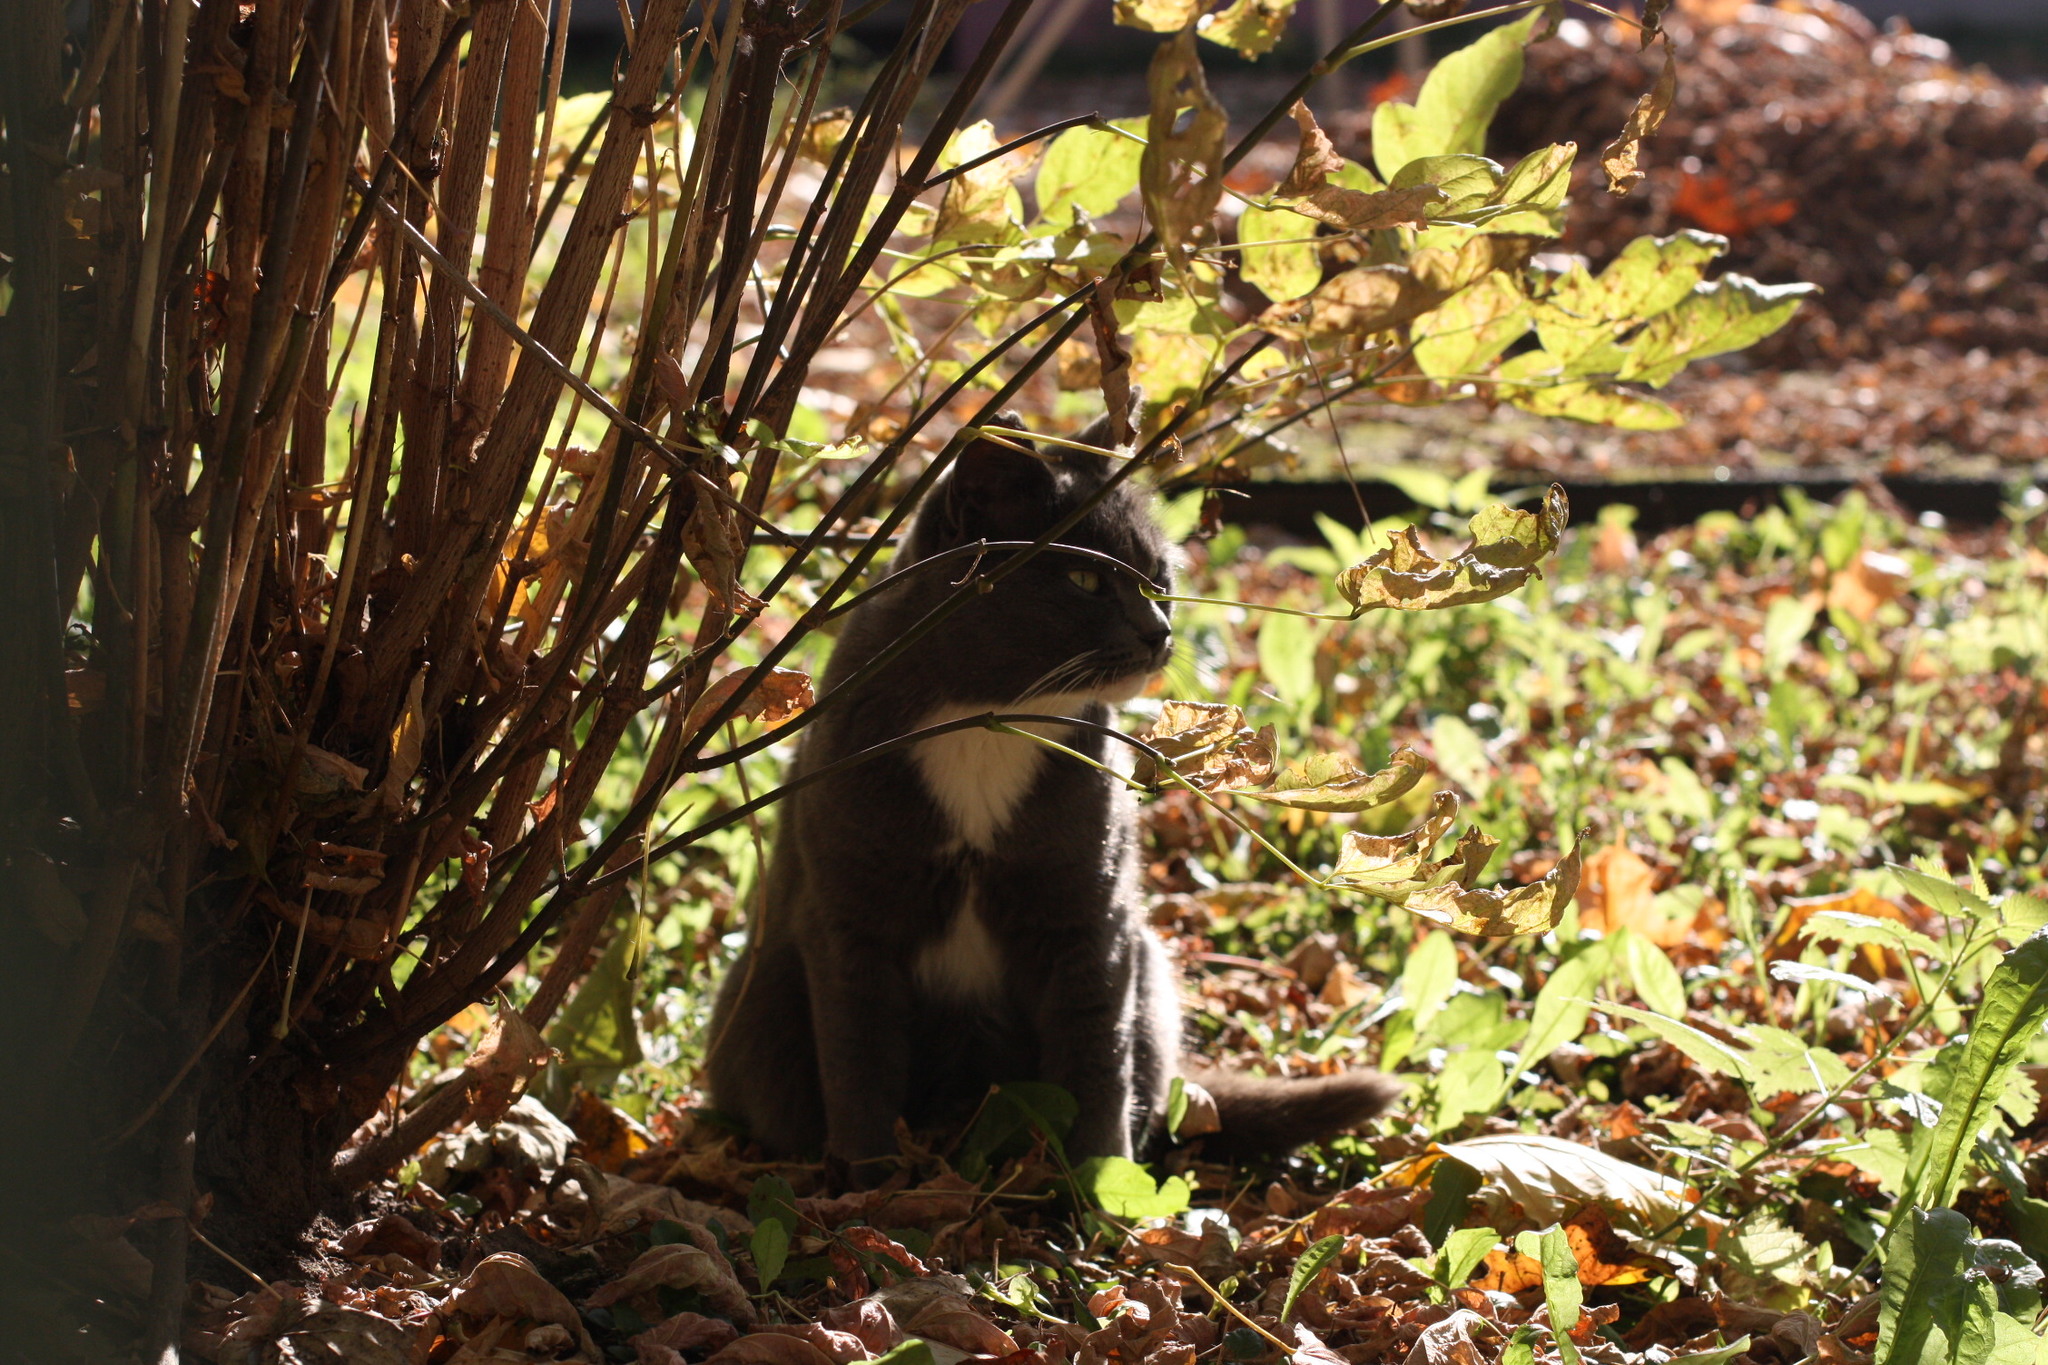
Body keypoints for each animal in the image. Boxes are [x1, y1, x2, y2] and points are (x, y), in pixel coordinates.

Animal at [712, 419, 1400, 1178]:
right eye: (1084, 579)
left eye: (1160, 579)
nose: (1159, 631)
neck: (989, 722)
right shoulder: (849, 914)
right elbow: (859, 1056)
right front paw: (871, 1177)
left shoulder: (1090, 910)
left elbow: (1096, 1049)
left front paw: (1098, 1182)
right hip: (758, 997)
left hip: (1150, 970)